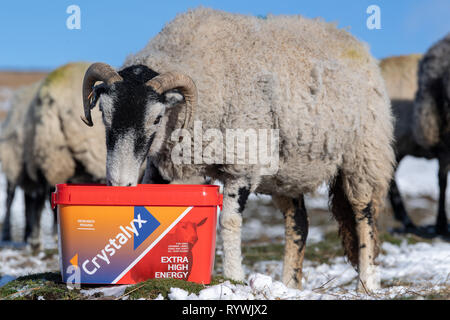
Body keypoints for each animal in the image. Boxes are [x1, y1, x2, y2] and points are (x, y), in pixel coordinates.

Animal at [82, 8, 396, 292]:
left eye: (156, 118)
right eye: (104, 115)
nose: (119, 183)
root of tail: (351, 38)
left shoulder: (242, 164)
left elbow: (230, 223)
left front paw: (234, 278)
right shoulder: (162, 167)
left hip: (363, 156)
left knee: (363, 215)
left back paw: (367, 284)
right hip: (288, 173)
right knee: (298, 223)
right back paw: (290, 286)